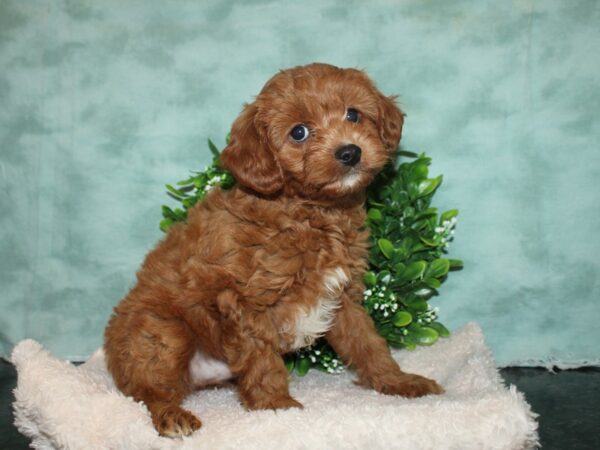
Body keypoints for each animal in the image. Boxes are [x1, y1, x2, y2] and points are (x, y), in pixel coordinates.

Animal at [103, 62, 442, 436]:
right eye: (299, 133)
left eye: (353, 114)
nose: (350, 152)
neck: (310, 214)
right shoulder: (242, 302)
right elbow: (261, 358)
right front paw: (277, 407)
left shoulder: (342, 297)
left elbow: (368, 344)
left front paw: (397, 381)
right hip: (161, 332)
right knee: (149, 391)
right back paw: (172, 416)